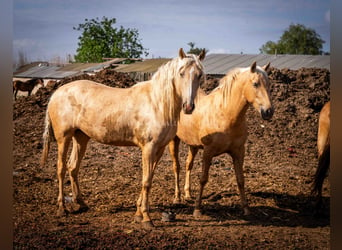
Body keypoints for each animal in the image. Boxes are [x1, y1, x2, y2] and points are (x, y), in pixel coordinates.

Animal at [40, 48, 206, 229]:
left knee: (73, 167)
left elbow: (149, 178)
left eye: (199, 75)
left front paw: (138, 214)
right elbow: (146, 181)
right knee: (61, 168)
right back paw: (62, 208)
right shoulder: (148, 148)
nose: (188, 107)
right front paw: (147, 218)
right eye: (181, 73)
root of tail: (56, 93)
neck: (157, 103)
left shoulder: (159, 149)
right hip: (64, 137)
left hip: (81, 137)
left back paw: (81, 204)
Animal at [170, 61, 274, 216]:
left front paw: (246, 208)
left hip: (193, 145)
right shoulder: (208, 152)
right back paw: (177, 198)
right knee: (177, 166)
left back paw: (187, 194)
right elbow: (203, 179)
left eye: (268, 84)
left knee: (189, 165)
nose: (268, 111)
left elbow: (240, 179)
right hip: (174, 141)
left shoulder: (238, 152)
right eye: (255, 84)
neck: (225, 114)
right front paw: (197, 209)